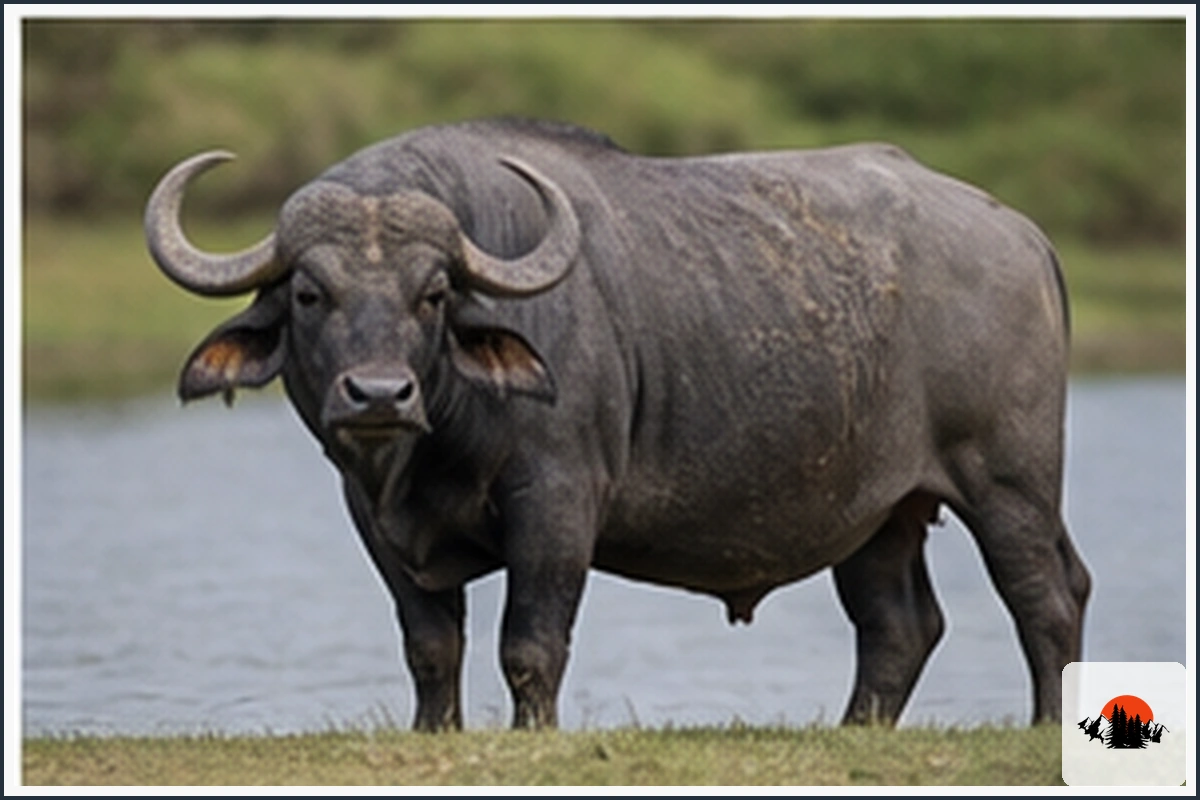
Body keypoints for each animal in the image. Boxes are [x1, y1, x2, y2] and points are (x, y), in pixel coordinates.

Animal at [145, 118, 1089, 730]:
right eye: (311, 293)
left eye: (434, 293)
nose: (379, 396)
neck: (432, 450)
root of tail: (1023, 235)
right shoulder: (372, 518)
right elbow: (430, 647)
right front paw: (433, 736)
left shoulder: (556, 502)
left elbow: (529, 645)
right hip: (877, 513)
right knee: (899, 627)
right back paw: (854, 731)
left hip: (1009, 483)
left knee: (1045, 595)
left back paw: (1044, 726)